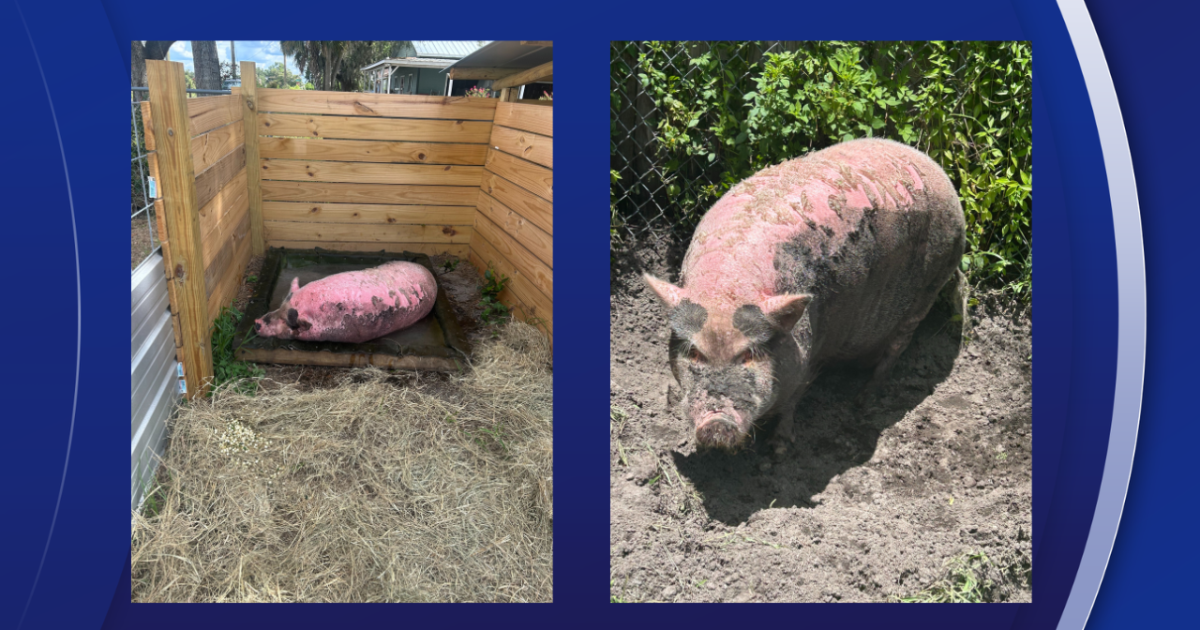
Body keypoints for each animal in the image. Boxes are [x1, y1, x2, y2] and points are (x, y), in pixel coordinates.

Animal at [644, 138, 965, 451]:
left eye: (749, 354)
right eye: (695, 353)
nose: (716, 423)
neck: (727, 289)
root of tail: (942, 175)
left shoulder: (808, 355)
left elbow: (792, 402)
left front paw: (779, 449)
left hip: (930, 286)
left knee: (897, 347)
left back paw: (862, 401)